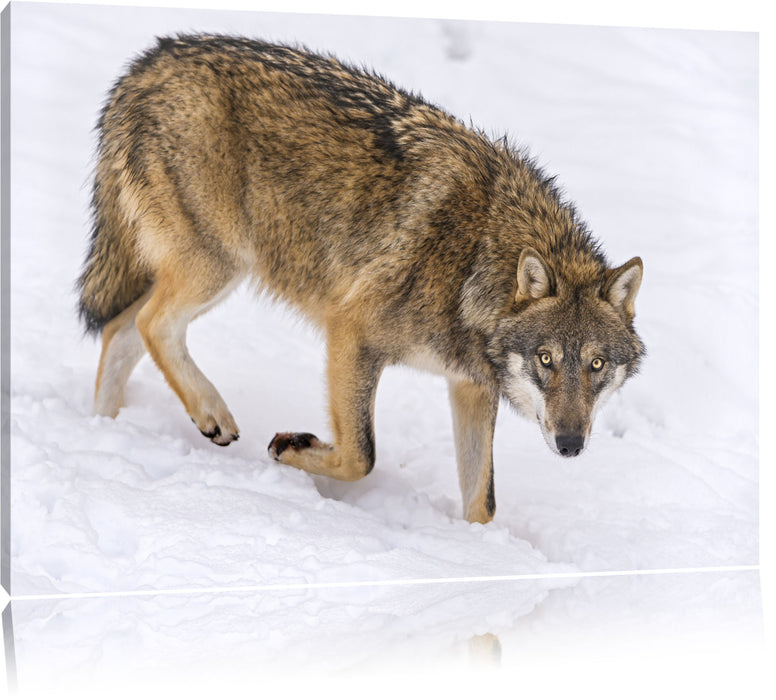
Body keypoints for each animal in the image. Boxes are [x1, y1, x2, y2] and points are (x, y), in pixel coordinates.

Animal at [76, 35, 644, 524]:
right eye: (546, 359)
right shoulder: (351, 332)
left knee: (120, 331)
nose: (570, 445)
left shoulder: (469, 386)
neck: (476, 262)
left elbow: (482, 502)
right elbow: (361, 456)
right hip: (219, 266)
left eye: (596, 365)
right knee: (151, 324)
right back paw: (210, 414)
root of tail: (150, 60)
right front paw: (289, 448)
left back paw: (101, 432)